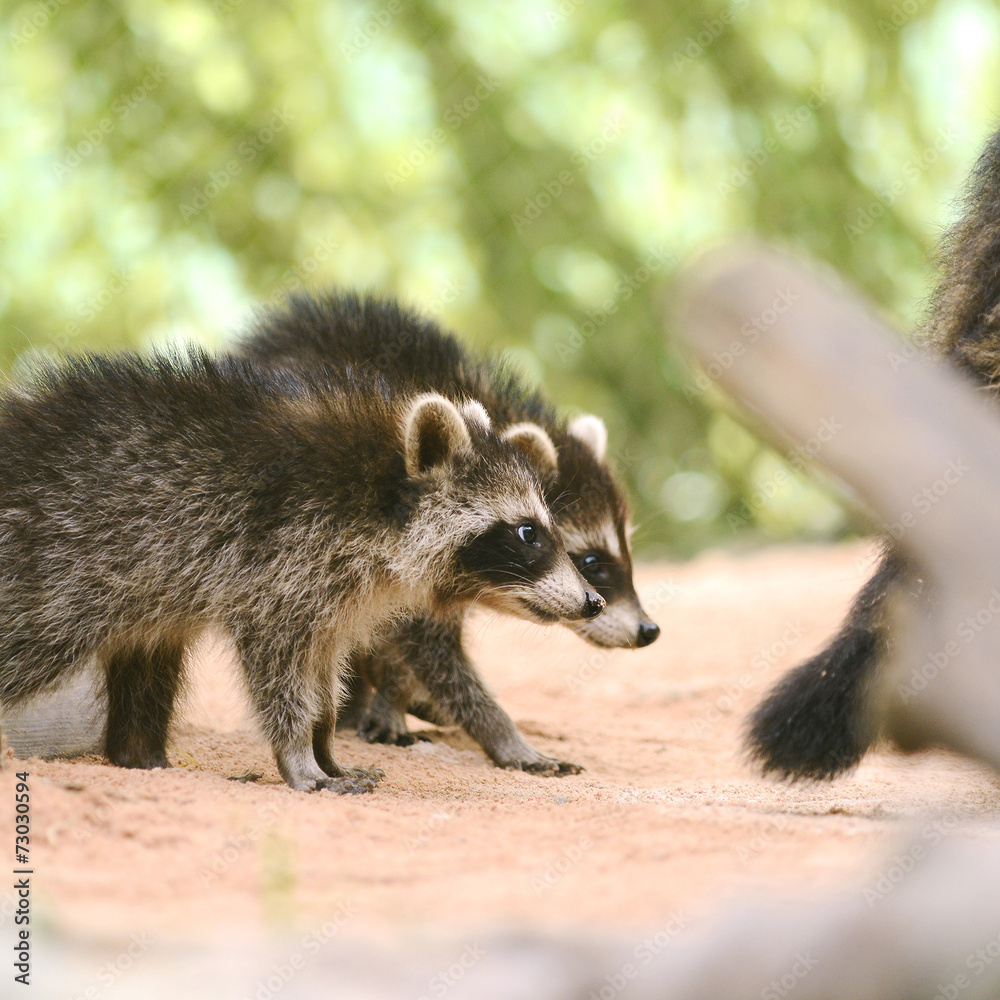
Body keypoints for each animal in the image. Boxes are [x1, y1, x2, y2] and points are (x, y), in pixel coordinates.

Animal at [0, 340, 600, 792]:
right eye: (528, 533)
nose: (592, 601)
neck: (379, 501)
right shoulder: (278, 563)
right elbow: (278, 671)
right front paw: (298, 756)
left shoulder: (333, 594)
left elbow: (323, 674)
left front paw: (324, 743)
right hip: (59, 567)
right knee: (31, 647)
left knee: (149, 657)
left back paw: (140, 755)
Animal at [232, 290, 656, 772]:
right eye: (591, 561)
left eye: (624, 553)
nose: (649, 629)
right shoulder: (408, 548)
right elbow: (429, 650)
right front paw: (503, 734)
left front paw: (396, 696)